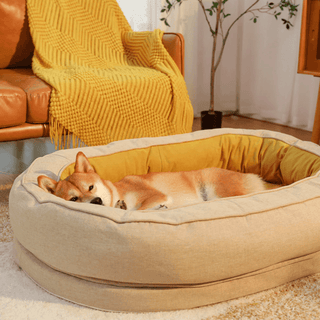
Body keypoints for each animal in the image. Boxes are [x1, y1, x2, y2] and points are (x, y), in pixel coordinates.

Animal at [37, 152, 266, 210]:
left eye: (91, 187)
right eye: (73, 199)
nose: (96, 202)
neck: (118, 193)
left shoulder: (155, 195)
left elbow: (139, 210)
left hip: (216, 190)